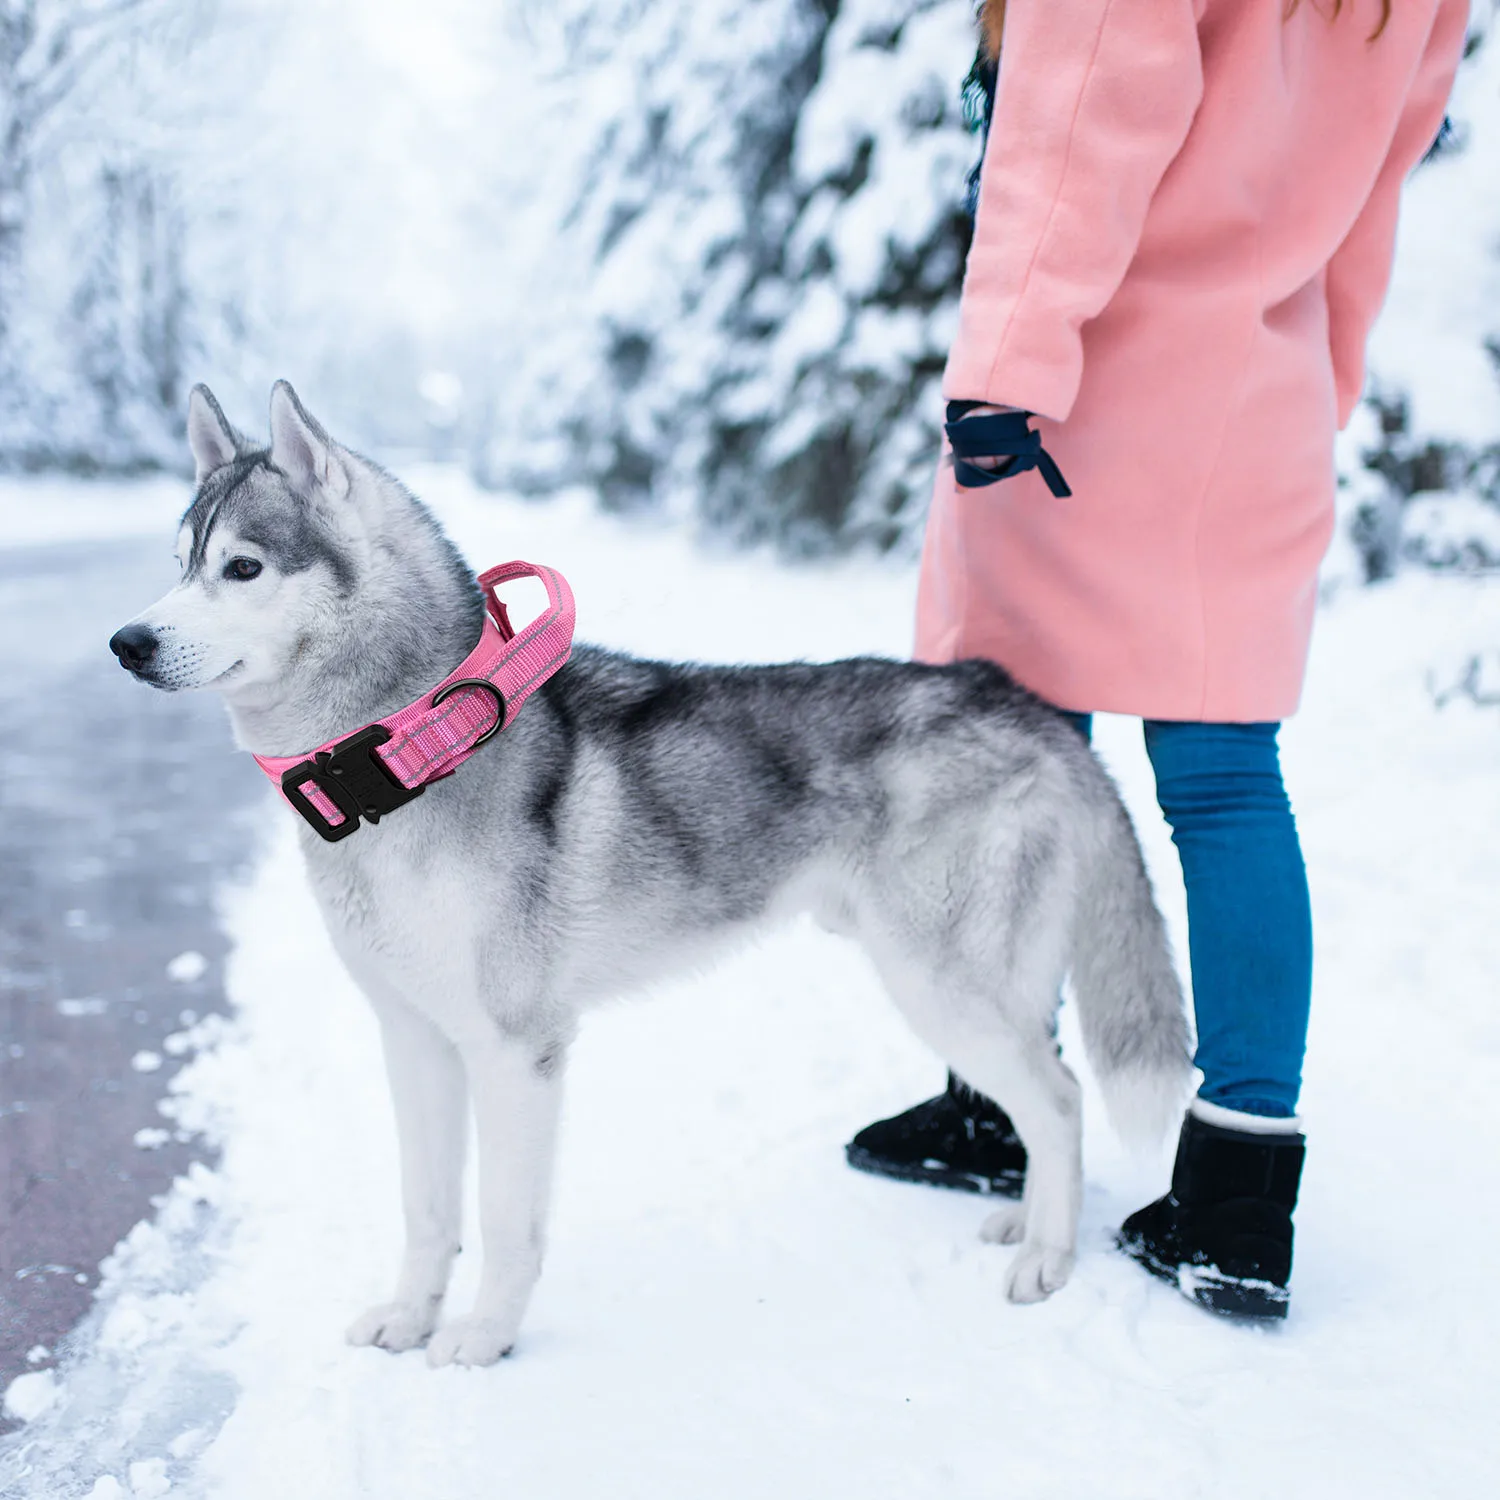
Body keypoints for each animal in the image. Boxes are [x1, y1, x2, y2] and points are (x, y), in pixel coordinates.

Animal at [108, 381, 1194, 1368]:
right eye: (178, 565)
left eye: (242, 566)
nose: (127, 641)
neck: (411, 751)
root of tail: (1026, 704)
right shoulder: (414, 1039)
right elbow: (427, 1209)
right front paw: (411, 1318)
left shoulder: (516, 1051)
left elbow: (502, 1219)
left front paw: (484, 1339)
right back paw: (1027, 1217)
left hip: (943, 985)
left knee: (1061, 1099)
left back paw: (1048, 1256)